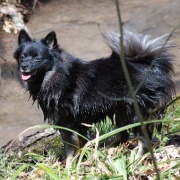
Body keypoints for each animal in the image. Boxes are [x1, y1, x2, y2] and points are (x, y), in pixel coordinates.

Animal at [13, 29, 174, 165]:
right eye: (22, 57)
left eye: (37, 58)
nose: (23, 66)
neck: (58, 76)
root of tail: (151, 65)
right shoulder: (79, 124)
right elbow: (80, 145)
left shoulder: (66, 124)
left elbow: (70, 151)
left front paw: (68, 169)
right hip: (121, 111)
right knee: (122, 136)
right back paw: (106, 148)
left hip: (135, 113)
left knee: (144, 142)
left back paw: (135, 159)